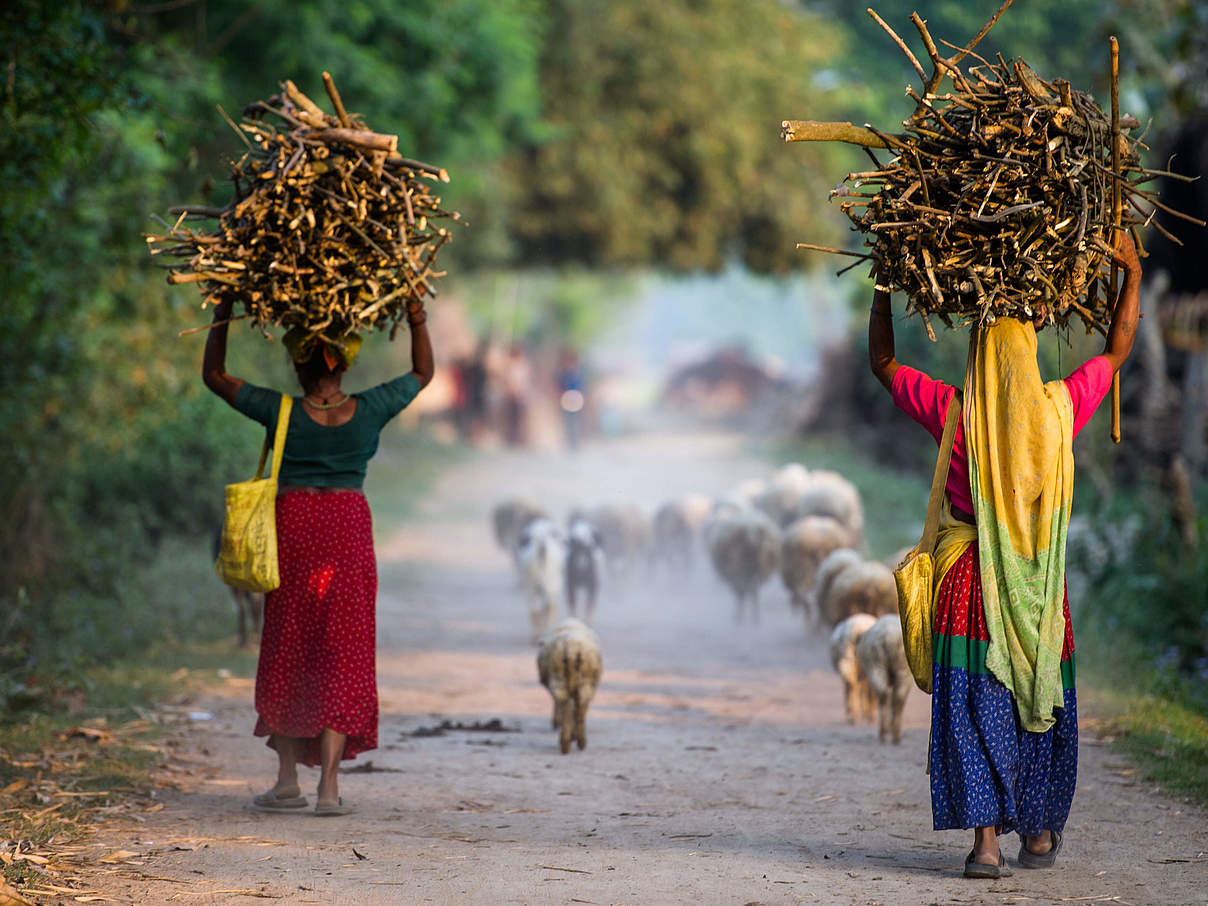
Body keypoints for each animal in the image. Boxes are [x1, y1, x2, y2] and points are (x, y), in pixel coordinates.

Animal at [536, 623, 601, 753]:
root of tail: (571, 649)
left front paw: (557, 722)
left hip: (560, 680)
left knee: (567, 706)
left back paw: (567, 742)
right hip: (583, 684)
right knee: (578, 709)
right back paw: (577, 741)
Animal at [855, 613, 908, 748]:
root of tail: (887, 636)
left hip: (877, 665)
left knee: (886, 695)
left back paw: (888, 732)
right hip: (897, 667)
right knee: (895, 697)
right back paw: (891, 734)